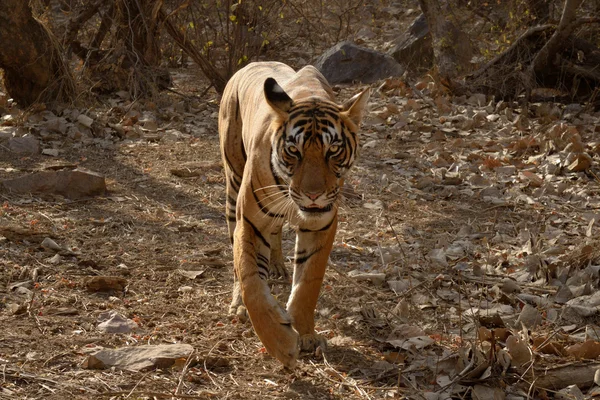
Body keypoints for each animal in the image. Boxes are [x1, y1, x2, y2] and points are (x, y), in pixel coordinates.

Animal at [219, 61, 370, 368]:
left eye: (333, 150)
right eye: (293, 150)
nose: (313, 195)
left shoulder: (321, 224)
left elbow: (307, 284)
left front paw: (306, 334)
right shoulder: (250, 222)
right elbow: (251, 281)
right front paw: (281, 344)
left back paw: (277, 264)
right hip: (233, 183)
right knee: (237, 262)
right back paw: (238, 303)